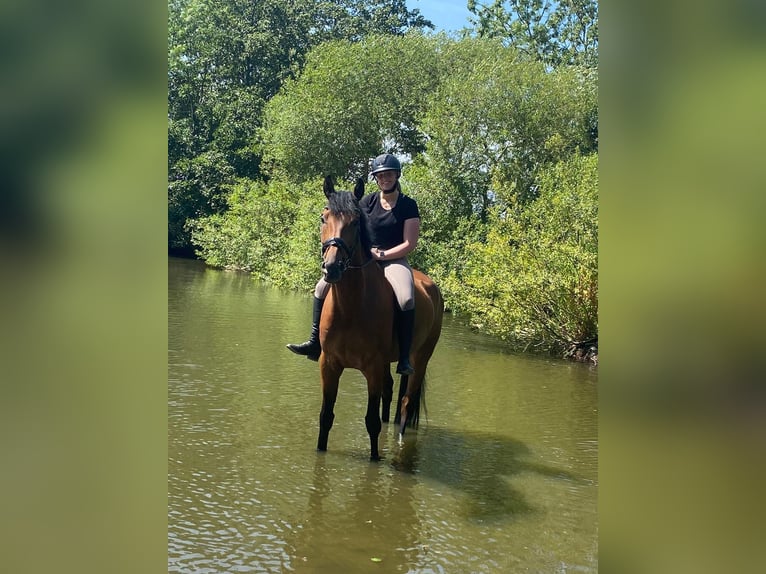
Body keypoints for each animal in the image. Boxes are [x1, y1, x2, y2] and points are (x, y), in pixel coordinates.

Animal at [316, 176, 444, 464]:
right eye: (323, 218)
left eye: (355, 222)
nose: (332, 268)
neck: (351, 307)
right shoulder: (329, 365)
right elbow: (326, 417)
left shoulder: (372, 367)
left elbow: (371, 422)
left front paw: (376, 460)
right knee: (390, 391)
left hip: (421, 358)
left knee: (406, 402)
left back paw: (399, 443)